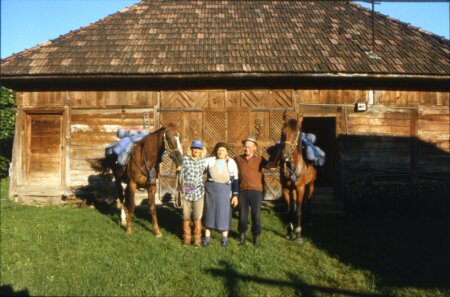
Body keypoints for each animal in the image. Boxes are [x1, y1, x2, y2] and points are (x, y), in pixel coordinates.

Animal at [278, 113, 316, 243]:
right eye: (283, 132)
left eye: (295, 134)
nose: (284, 156)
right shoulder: (285, 189)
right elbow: (290, 211)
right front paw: (289, 232)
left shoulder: (300, 188)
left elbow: (298, 211)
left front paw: (299, 235)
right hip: (293, 190)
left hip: (310, 185)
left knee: (308, 202)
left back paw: (308, 222)